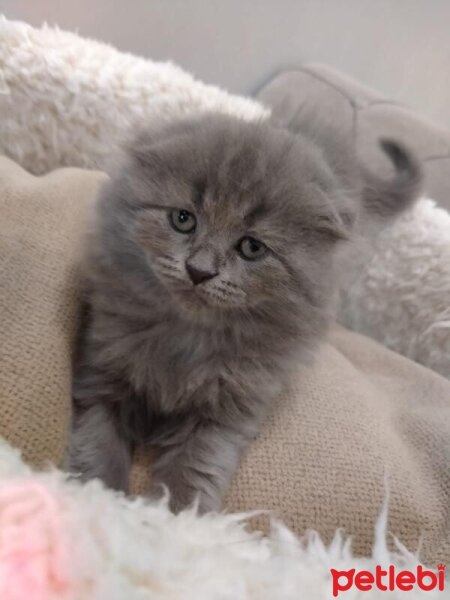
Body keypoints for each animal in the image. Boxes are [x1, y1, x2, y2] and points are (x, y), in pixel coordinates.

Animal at [67, 112, 422, 510]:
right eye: (183, 219)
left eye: (252, 247)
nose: (199, 270)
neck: (187, 337)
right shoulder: (102, 374)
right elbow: (98, 447)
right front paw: (102, 502)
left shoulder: (225, 412)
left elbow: (192, 472)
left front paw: (172, 518)